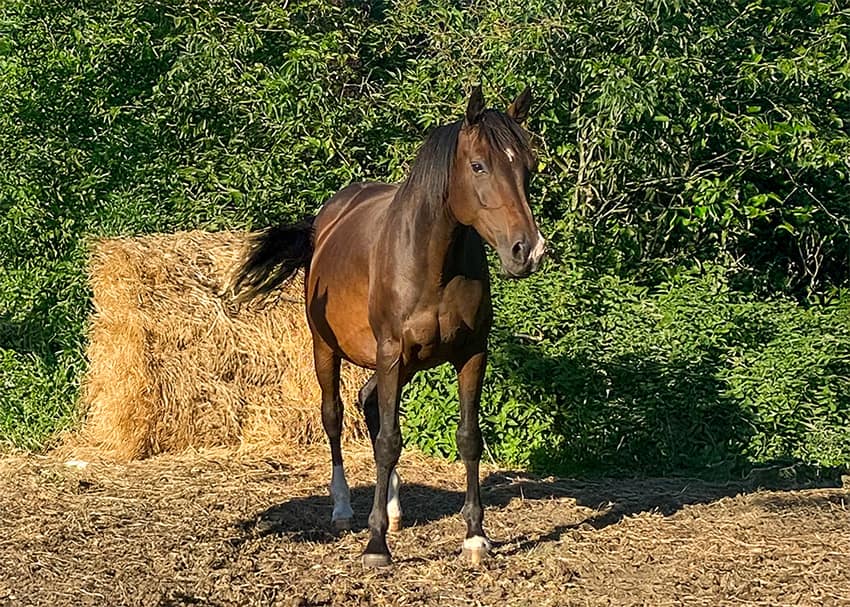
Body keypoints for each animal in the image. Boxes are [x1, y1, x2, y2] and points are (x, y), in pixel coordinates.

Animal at [229, 86, 545, 567]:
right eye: (479, 165)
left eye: (527, 166)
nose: (527, 251)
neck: (433, 261)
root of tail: (324, 221)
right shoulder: (390, 352)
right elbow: (387, 442)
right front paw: (376, 544)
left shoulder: (472, 353)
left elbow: (467, 437)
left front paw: (475, 536)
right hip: (328, 349)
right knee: (336, 415)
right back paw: (343, 508)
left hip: (404, 363)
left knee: (370, 403)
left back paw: (394, 507)